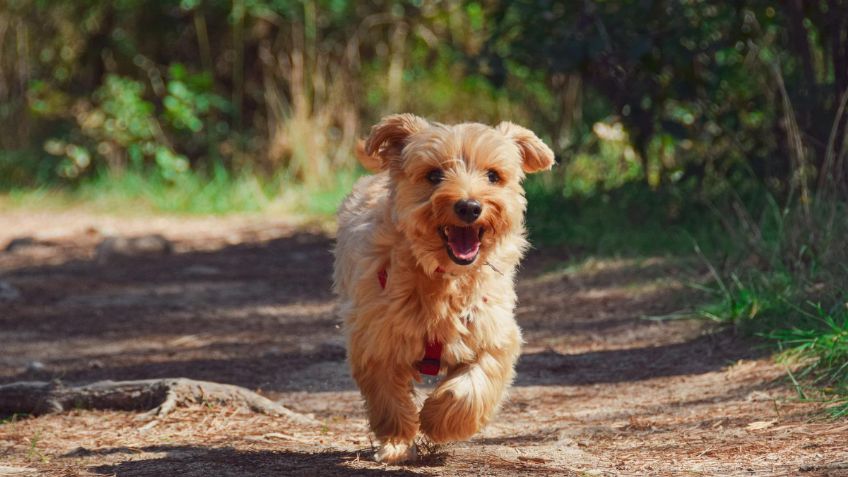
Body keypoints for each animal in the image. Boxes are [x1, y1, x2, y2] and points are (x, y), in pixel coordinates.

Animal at [332, 113, 556, 462]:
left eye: (493, 175)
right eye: (434, 175)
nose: (469, 207)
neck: (444, 279)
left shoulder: (493, 334)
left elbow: (471, 387)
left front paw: (438, 421)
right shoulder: (376, 338)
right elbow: (388, 397)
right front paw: (397, 441)